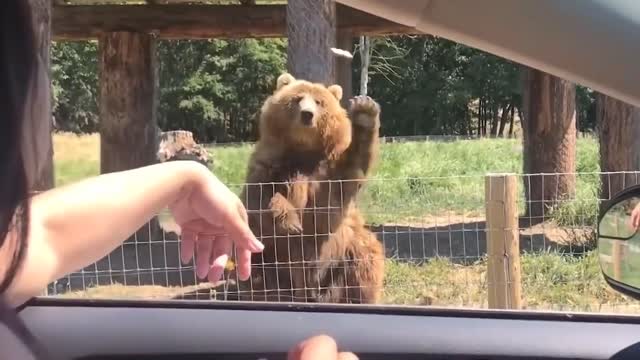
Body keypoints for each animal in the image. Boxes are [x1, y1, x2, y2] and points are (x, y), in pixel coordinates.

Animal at [228, 72, 382, 304]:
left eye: (319, 102)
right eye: (298, 98)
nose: (307, 115)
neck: (303, 151)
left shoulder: (328, 171)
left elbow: (348, 177)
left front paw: (364, 111)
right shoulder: (269, 164)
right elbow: (260, 196)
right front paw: (291, 223)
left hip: (343, 253)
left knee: (364, 257)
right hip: (272, 258)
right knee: (252, 261)